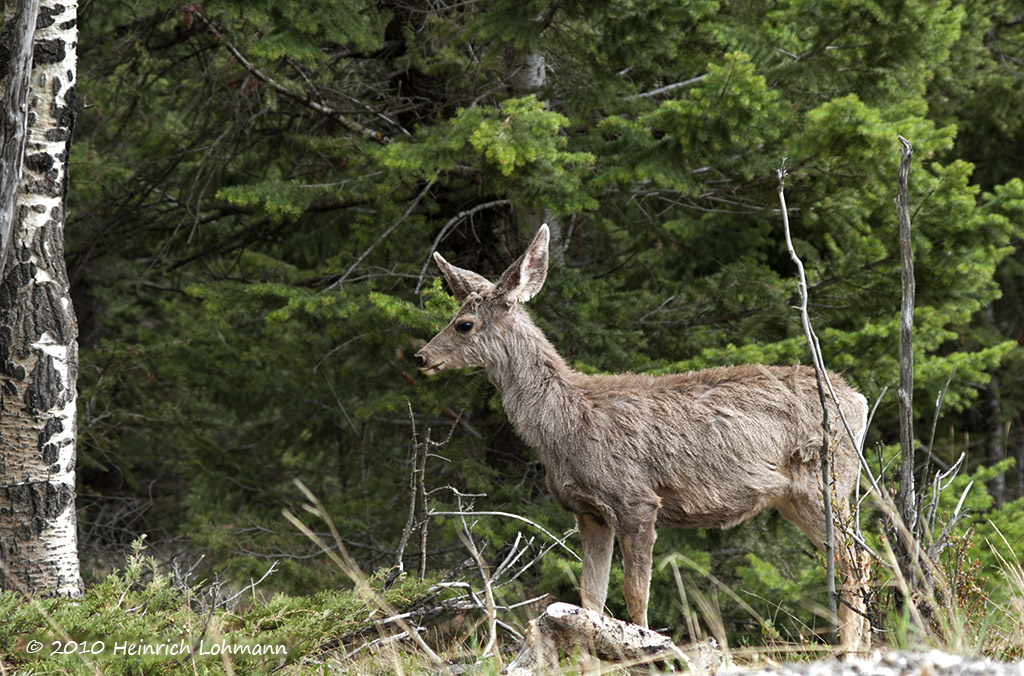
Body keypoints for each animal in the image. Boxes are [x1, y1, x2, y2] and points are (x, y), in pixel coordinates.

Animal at [415, 223, 872, 651]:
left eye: (464, 324)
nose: (421, 356)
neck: (567, 426)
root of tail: (858, 398)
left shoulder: (636, 500)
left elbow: (635, 595)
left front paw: (646, 646)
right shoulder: (589, 512)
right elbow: (590, 599)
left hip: (825, 484)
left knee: (857, 563)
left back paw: (851, 646)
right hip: (796, 497)